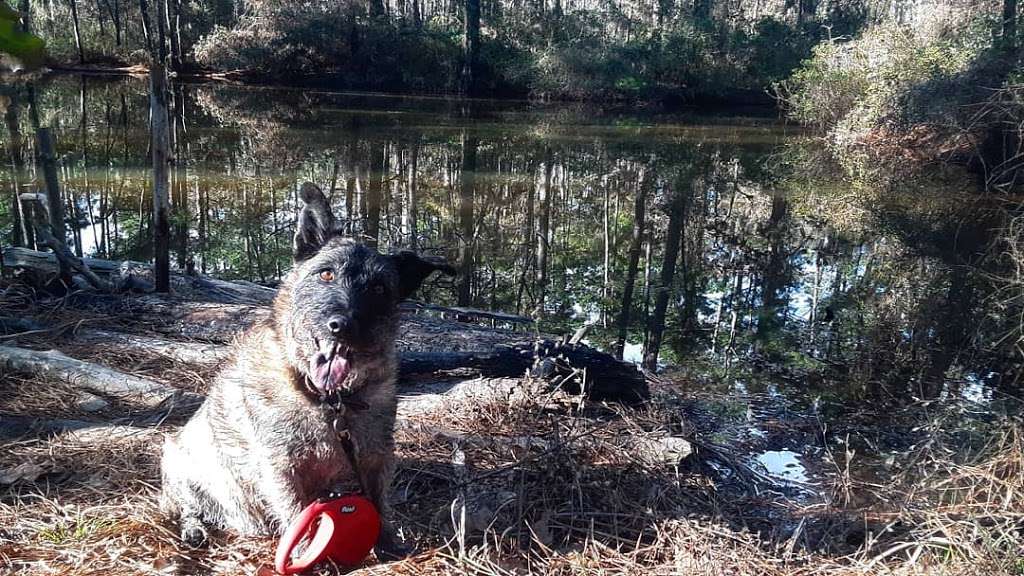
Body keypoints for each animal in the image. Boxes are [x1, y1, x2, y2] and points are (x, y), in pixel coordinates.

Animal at [158, 181, 452, 557]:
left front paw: (387, 544)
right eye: (326, 273)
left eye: (378, 288)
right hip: (180, 463)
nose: (341, 325)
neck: (328, 399)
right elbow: (296, 511)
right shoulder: (281, 467)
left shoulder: (374, 456)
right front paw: (304, 554)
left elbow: (379, 502)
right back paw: (194, 529)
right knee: (188, 506)